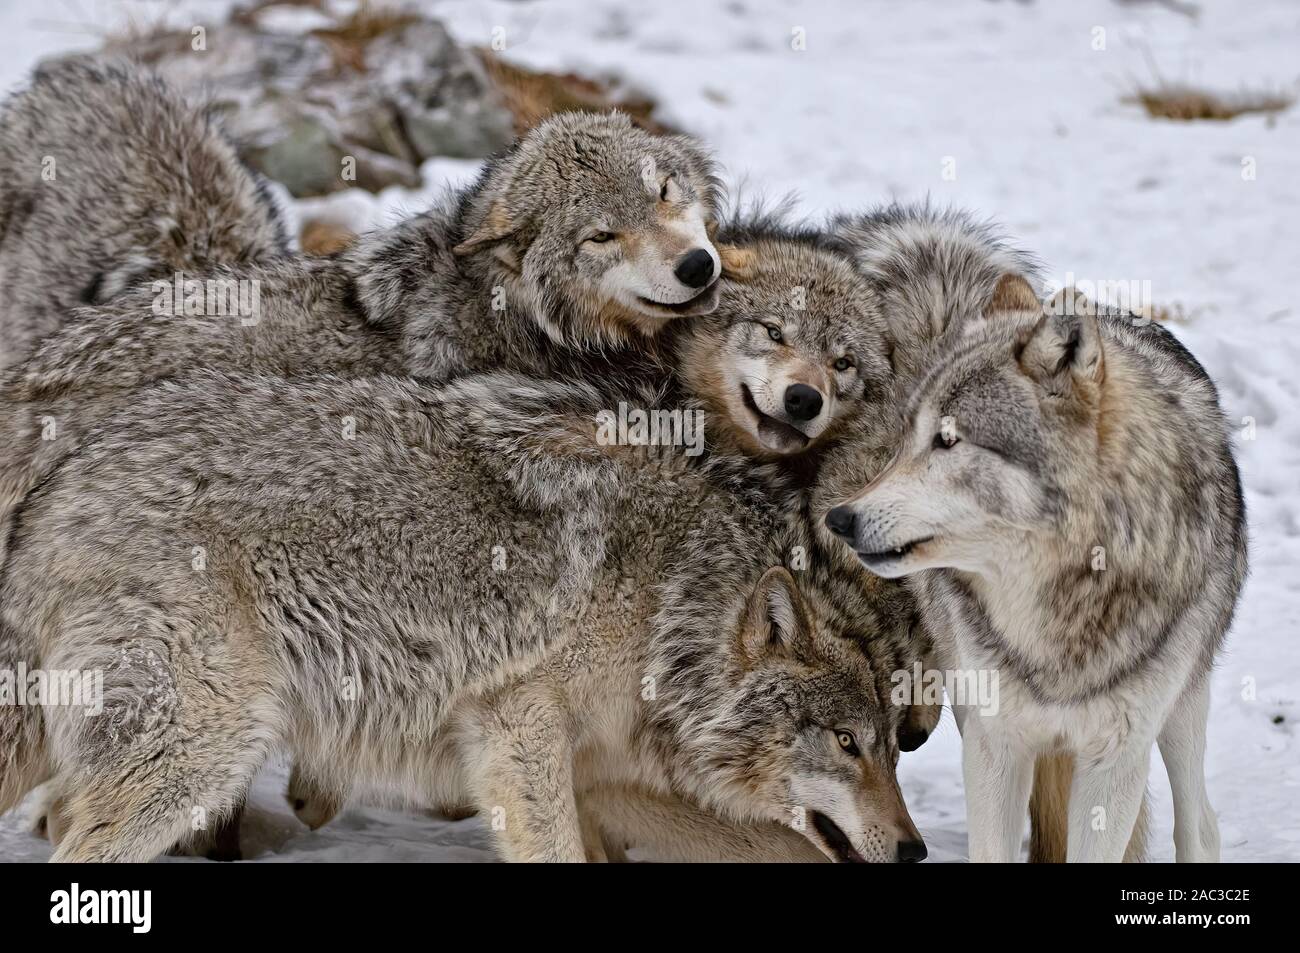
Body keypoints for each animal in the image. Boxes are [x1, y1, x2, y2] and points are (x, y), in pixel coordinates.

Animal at [2, 358, 935, 863]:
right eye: (846, 744)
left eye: (890, 750)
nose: (916, 848)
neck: (667, 605)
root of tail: (52, 494)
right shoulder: (519, 726)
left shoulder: (601, 775)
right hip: (203, 754)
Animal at [826, 275, 1242, 863]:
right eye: (908, 437)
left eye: (948, 439)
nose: (839, 519)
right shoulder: (994, 744)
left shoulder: (1115, 757)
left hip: (1183, 706)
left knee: (1199, 823)